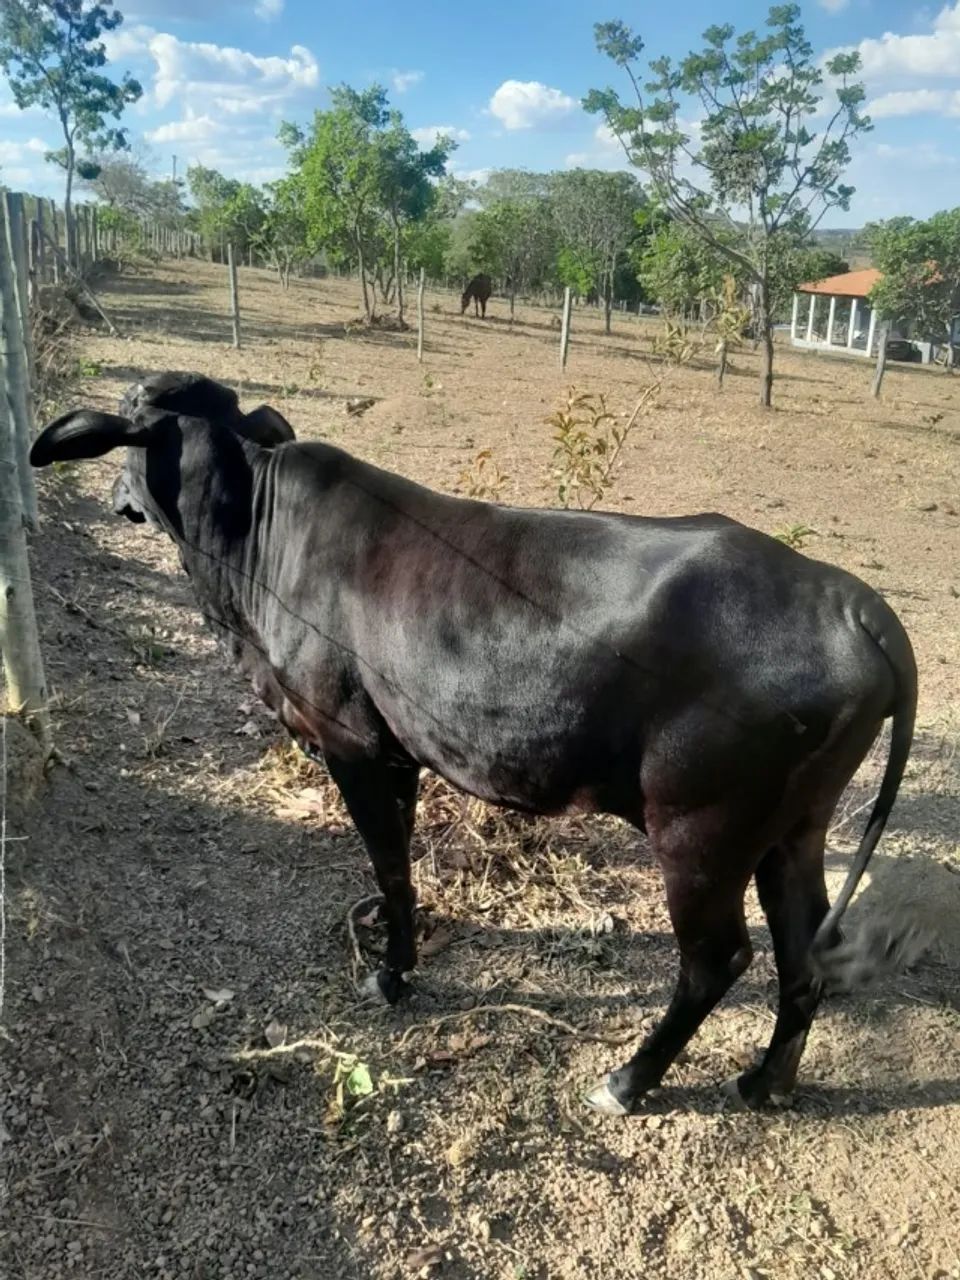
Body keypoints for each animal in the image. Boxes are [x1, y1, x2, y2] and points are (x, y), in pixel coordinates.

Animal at [30, 375, 917, 1117]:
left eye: (127, 421)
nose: (114, 495)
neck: (251, 541)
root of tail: (850, 599)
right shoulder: (397, 752)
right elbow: (400, 863)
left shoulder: (351, 742)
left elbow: (390, 867)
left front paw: (390, 978)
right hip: (791, 830)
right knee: (802, 953)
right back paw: (768, 1083)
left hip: (702, 831)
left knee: (718, 959)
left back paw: (627, 1082)